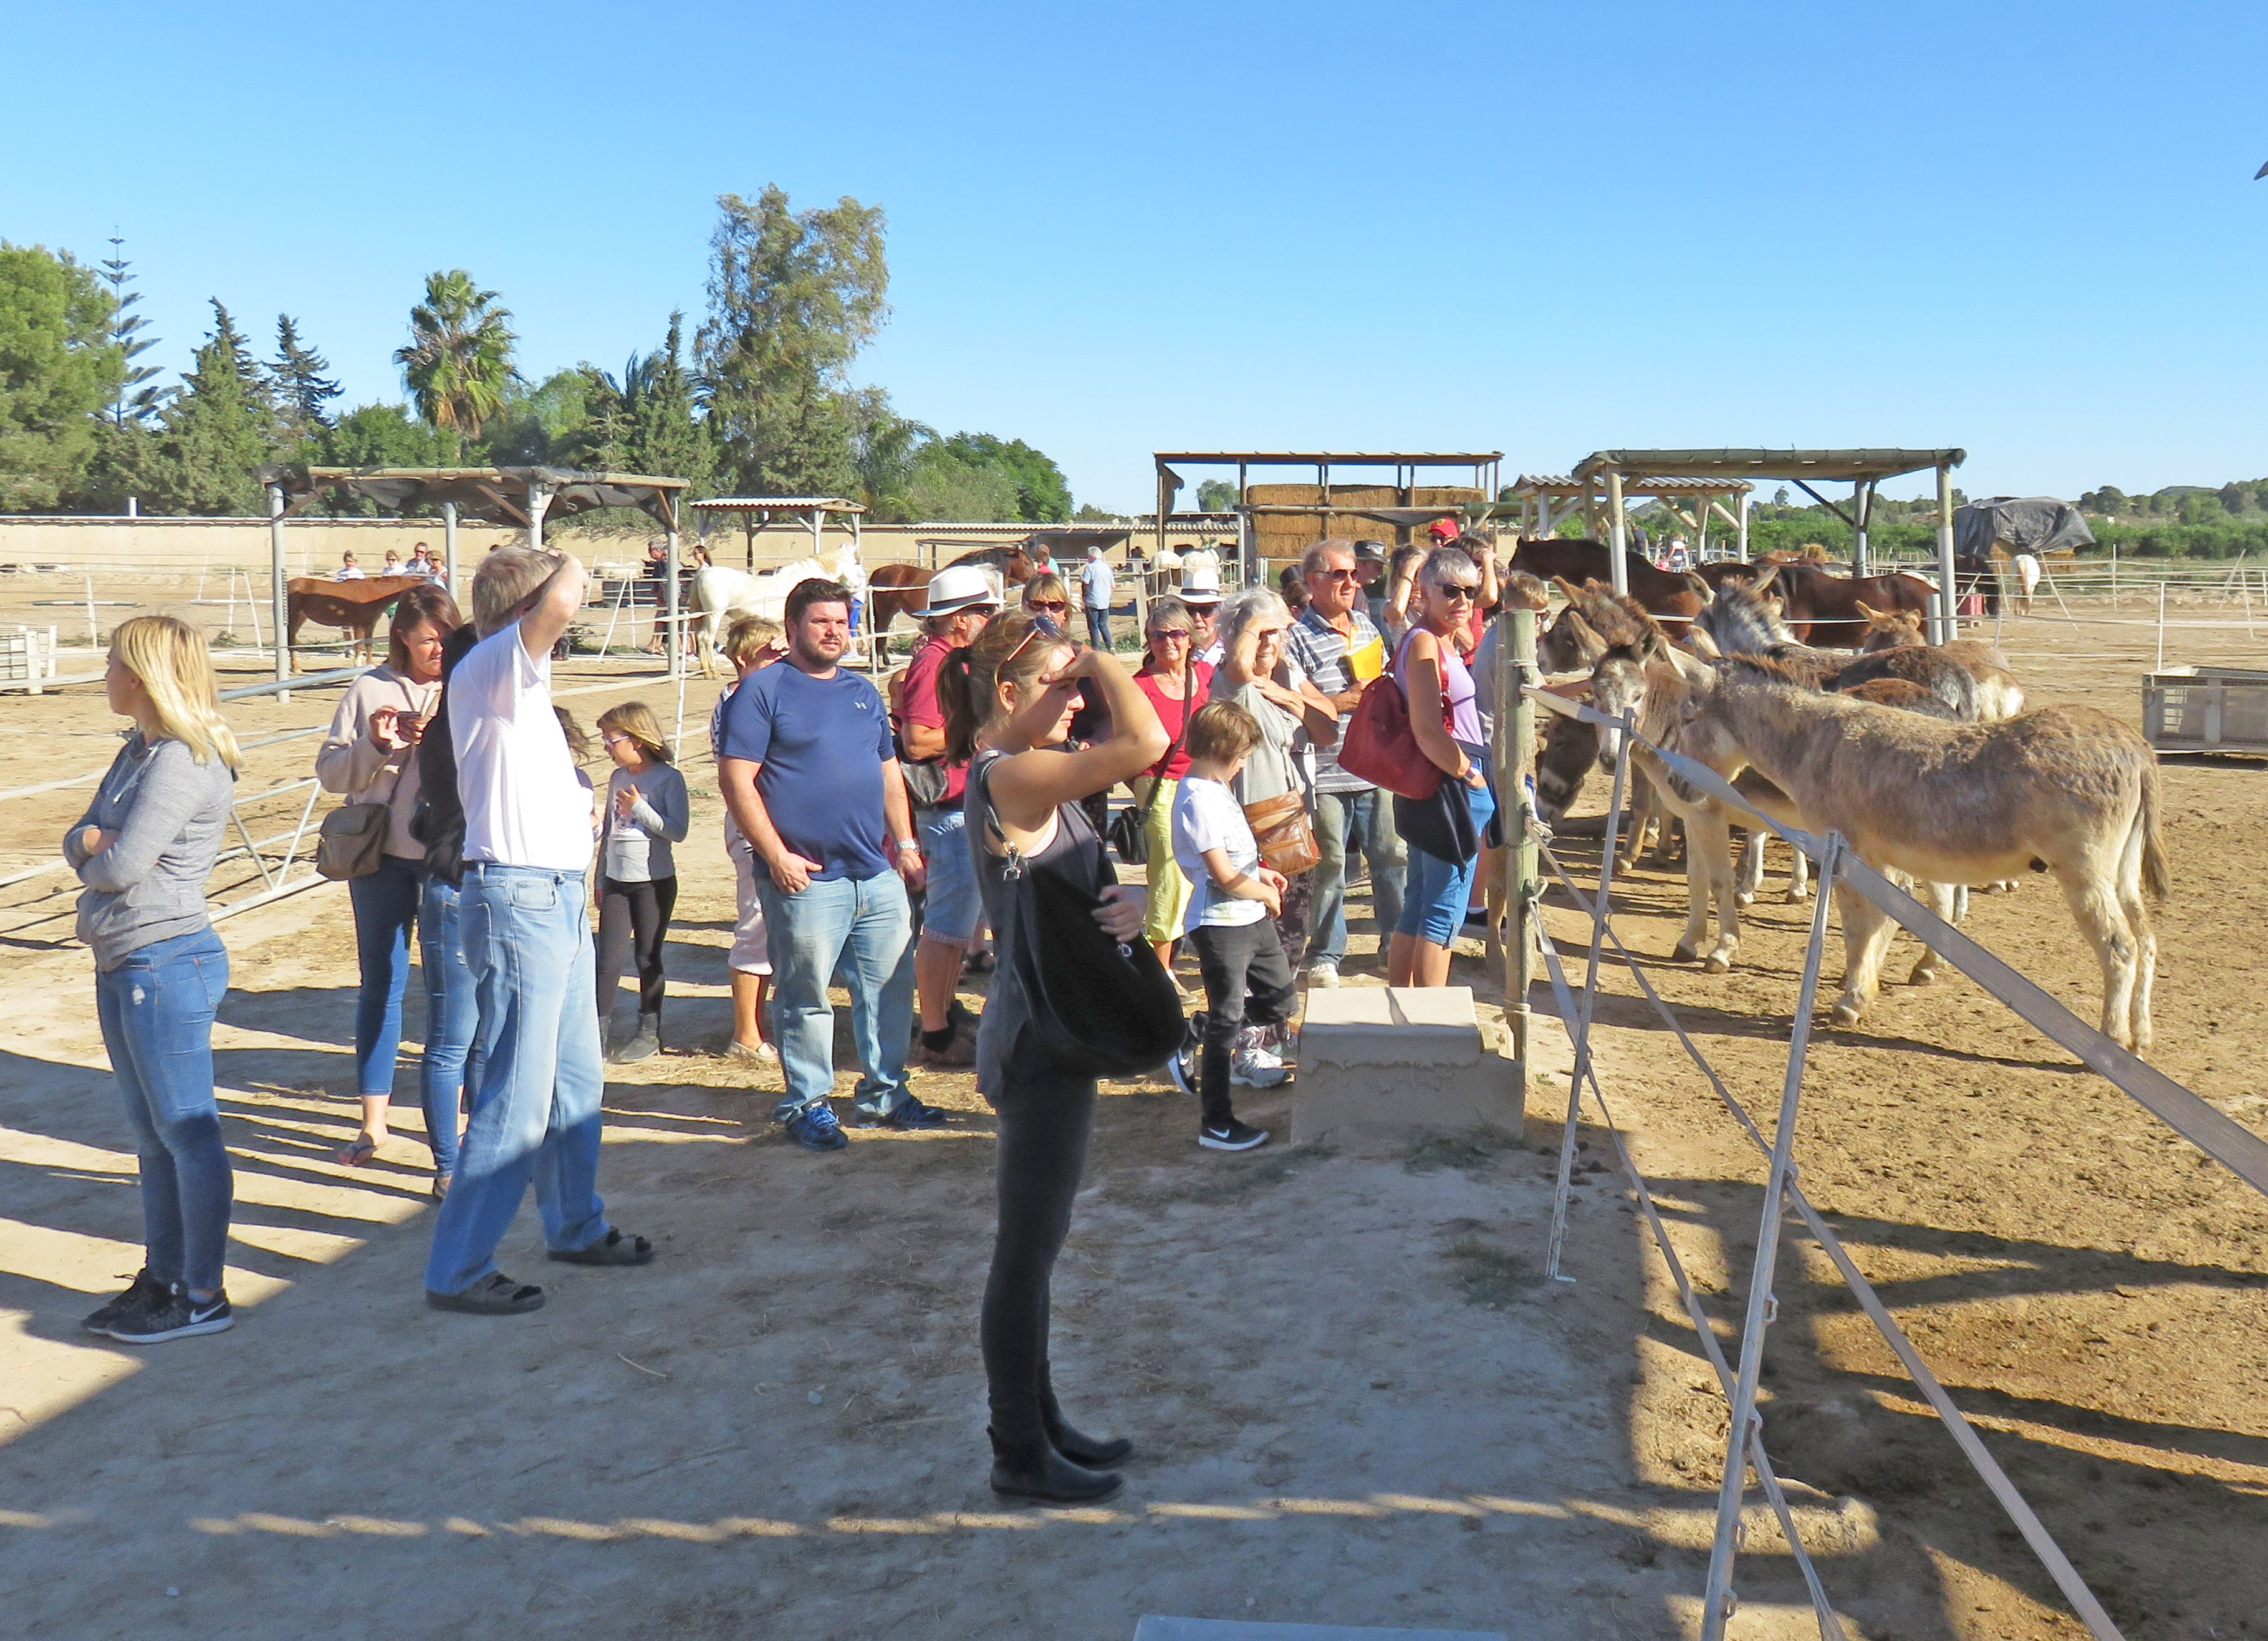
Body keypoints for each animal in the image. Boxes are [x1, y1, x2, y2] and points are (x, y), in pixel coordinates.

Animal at [285, 575, 423, 668]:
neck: (373, 595)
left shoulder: (370, 624)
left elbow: (369, 645)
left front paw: (370, 664)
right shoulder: (359, 625)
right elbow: (358, 646)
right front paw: (358, 665)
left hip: (301, 617)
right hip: (294, 617)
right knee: (291, 639)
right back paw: (296, 668)